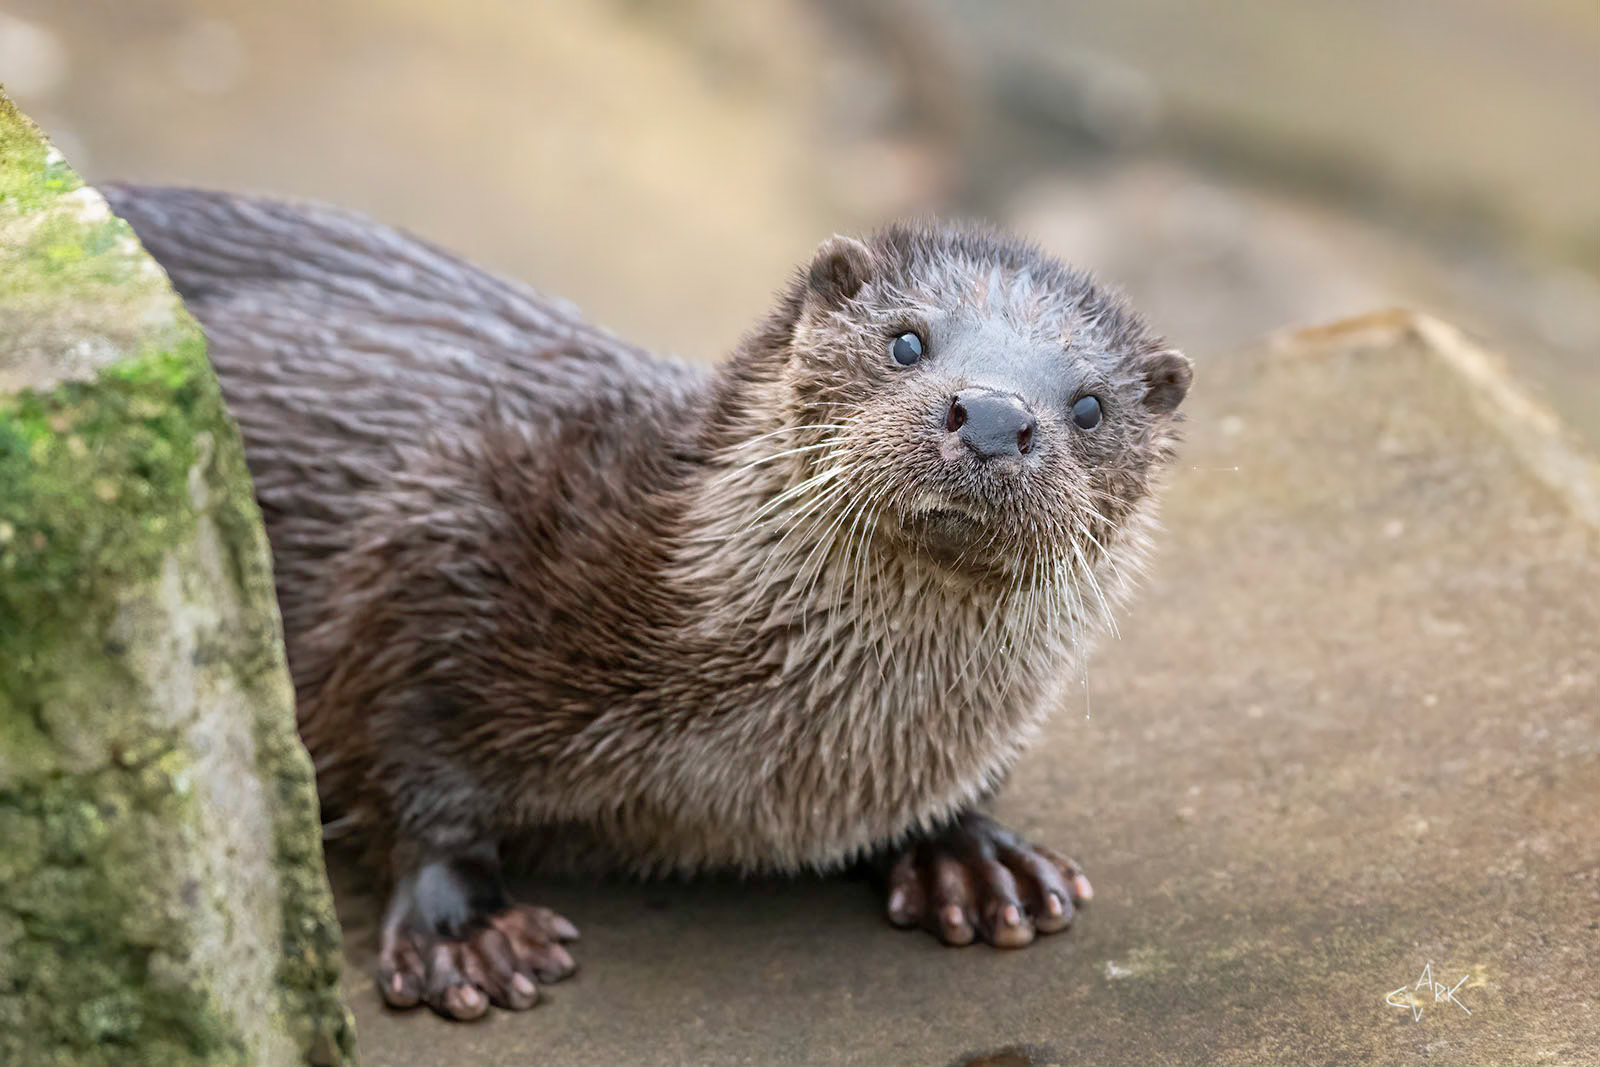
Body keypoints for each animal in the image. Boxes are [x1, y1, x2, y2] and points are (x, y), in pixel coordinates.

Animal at [105, 185, 1191, 1021]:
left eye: (1089, 405)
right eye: (906, 343)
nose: (998, 415)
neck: (762, 761)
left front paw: (970, 852)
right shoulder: (449, 529)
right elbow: (392, 731)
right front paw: (466, 925)